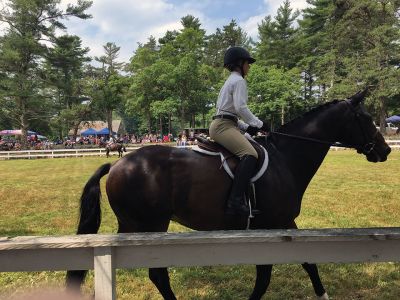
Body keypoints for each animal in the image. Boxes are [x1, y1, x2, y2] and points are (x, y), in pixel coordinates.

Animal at [66, 91, 390, 300]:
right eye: (366, 117)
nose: (385, 150)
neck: (285, 157)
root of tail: (118, 163)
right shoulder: (269, 226)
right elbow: (265, 277)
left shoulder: (283, 224)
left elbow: (307, 262)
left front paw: (322, 294)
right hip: (149, 226)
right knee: (158, 274)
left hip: (134, 226)